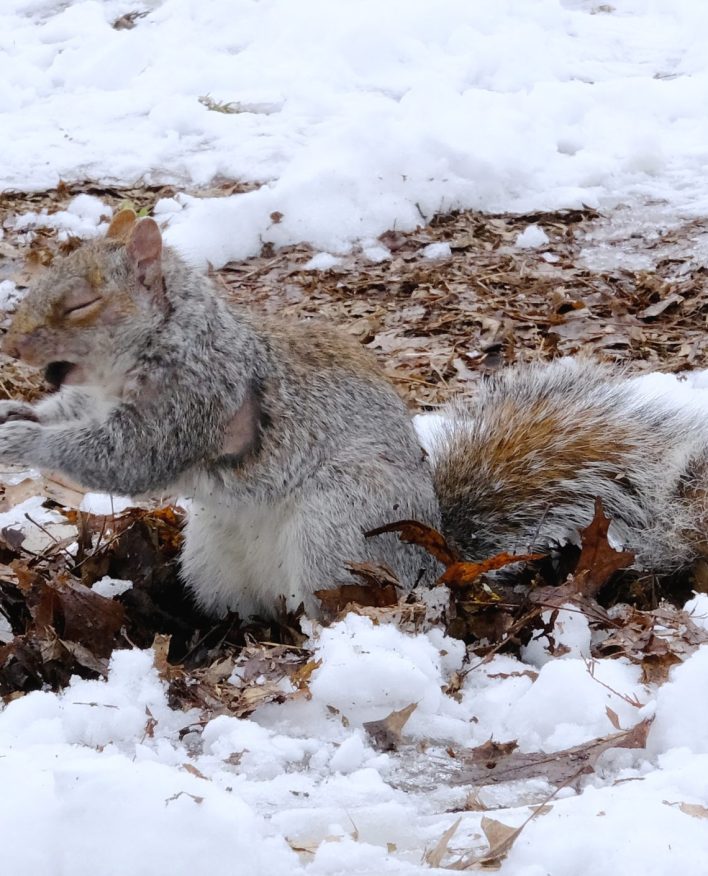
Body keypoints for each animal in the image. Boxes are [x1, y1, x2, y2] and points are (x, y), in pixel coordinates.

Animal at [0, 209, 706, 618]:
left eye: (82, 304)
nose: (13, 346)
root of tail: (436, 563)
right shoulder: (89, 398)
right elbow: (65, 411)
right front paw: (17, 413)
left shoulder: (196, 397)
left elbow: (127, 458)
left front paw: (25, 447)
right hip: (213, 557)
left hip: (339, 529)